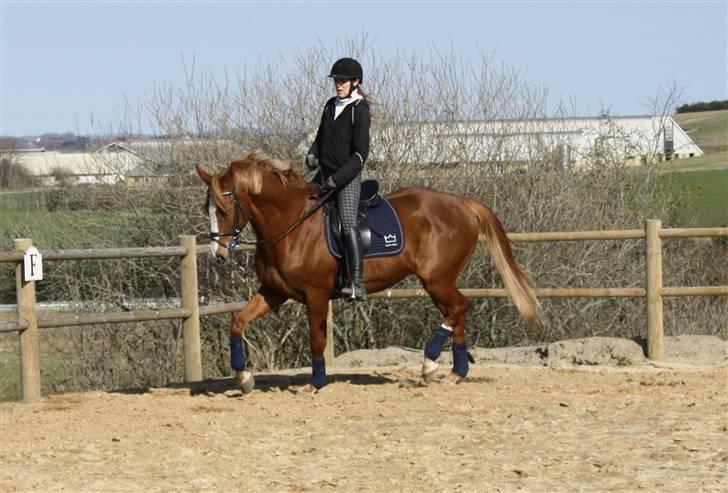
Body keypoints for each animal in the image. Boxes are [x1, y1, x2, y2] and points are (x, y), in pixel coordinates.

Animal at [196, 150, 536, 392]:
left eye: (224, 209)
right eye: (207, 209)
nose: (217, 255)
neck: (291, 224)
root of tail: (463, 203)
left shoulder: (316, 295)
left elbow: (316, 339)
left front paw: (315, 383)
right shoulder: (273, 292)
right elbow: (238, 322)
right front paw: (244, 378)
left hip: (437, 279)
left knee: (459, 308)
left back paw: (431, 364)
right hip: (439, 282)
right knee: (456, 312)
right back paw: (454, 372)